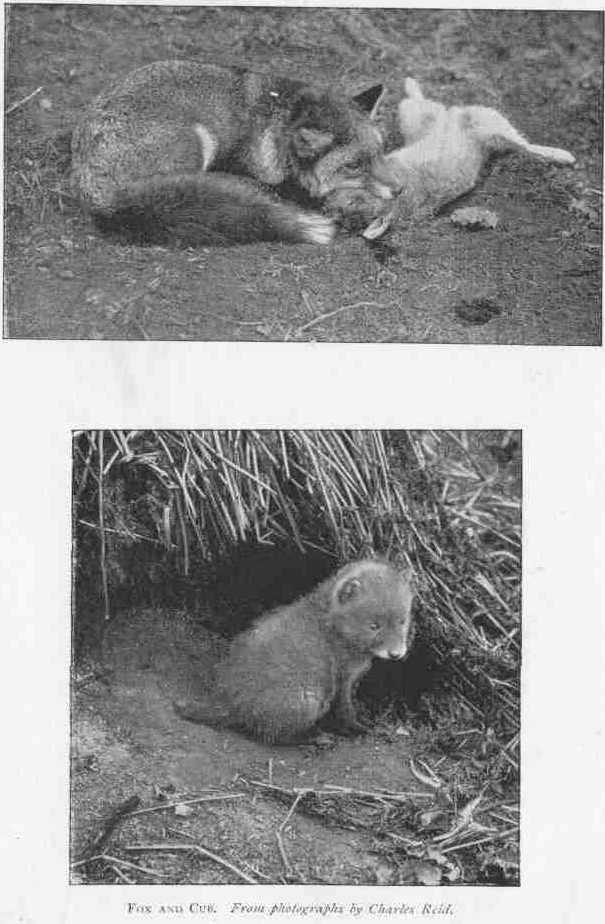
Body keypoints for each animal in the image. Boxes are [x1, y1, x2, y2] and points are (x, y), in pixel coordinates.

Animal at [174, 559, 415, 744]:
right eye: (374, 625)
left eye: (402, 620)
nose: (396, 653)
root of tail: (228, 699)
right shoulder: (343, 678)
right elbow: (345, 710)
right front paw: (361, 728)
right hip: (305, 699)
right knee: (273, 735)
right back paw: (316, 738)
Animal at [324, 77, 576, 238]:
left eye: (354, 202)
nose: (327, 205)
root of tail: (452, 115)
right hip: (422, 117)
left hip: (485, 123)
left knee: (522, 143)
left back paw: (562, 156)